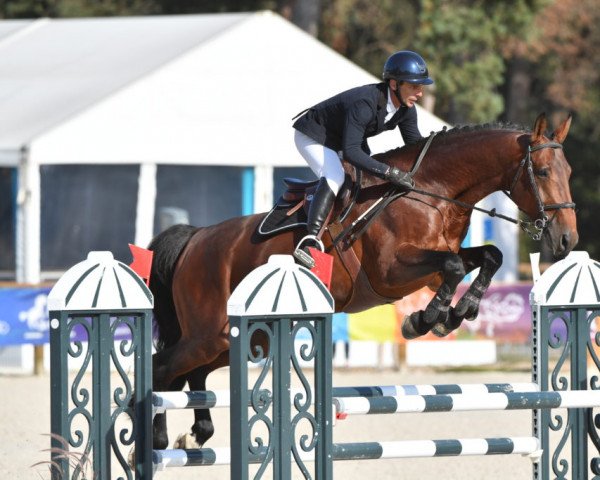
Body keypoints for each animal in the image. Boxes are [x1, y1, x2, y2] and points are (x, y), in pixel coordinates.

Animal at [148, 113, 576, 450]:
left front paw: (458, 313)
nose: (567, 240)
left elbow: (488, 256)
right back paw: (155, 441)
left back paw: (196, 435)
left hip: (237, 339)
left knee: (193, 374)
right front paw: (425, 320)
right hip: (210, 333)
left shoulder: (432, 267)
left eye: (569, 173)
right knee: (162, 368)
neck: (431, 191)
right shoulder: (392, 270)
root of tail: (194, 239)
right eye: (541, 172)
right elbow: (455, 266)